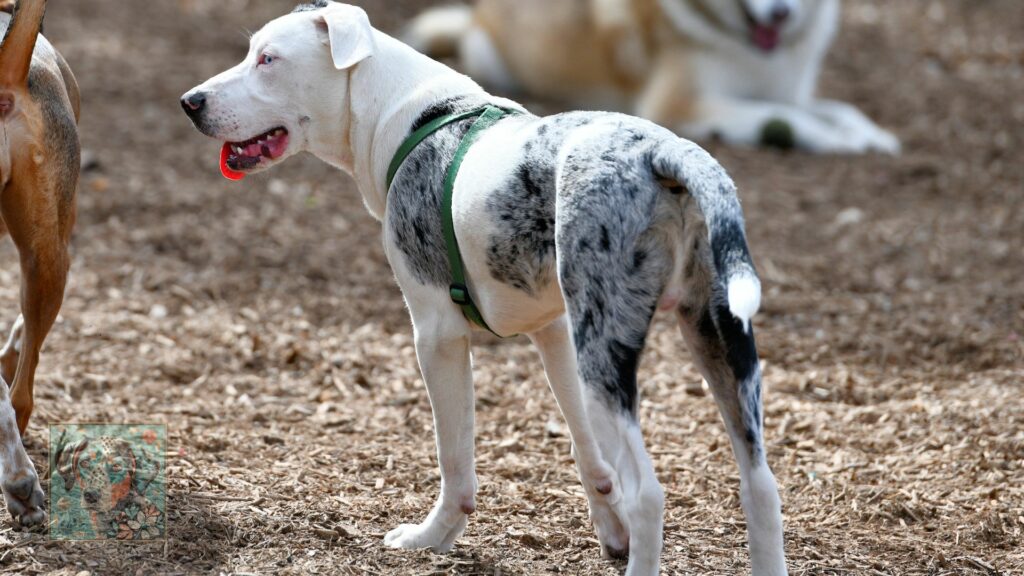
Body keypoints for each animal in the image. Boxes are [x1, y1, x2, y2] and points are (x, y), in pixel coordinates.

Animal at [182, 2, 782, 569]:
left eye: (268, 60)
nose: (191, 102)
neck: (403, 116)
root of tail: (663, 154)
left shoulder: (437, 336)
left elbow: (455, 459)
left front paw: (432, 537)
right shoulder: (556, 334)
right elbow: (586, 448)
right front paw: (609, 531)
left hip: (609, 352)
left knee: (649, 495)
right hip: (718, 346)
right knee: (760, 487)